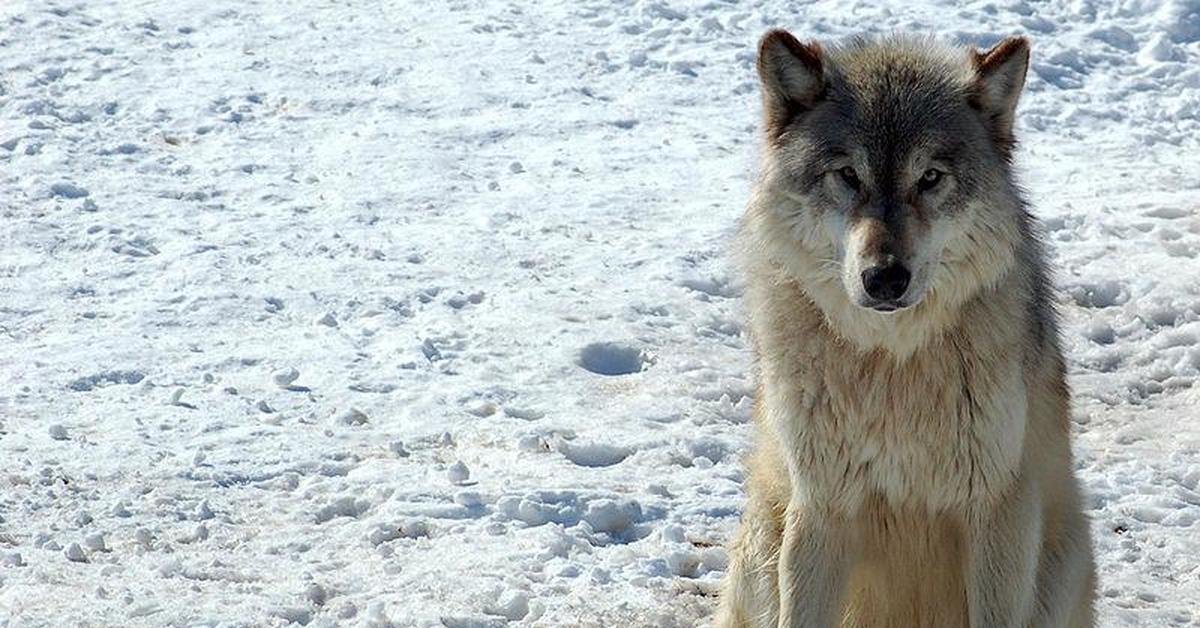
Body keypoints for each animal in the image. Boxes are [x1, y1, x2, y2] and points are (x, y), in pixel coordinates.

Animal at [710, 30, 1099, 628]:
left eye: (930, 177)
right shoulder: (822, 507)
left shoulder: (998, 507)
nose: (886, 277)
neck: (892, 367)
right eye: (849, 175)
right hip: (762, 544)